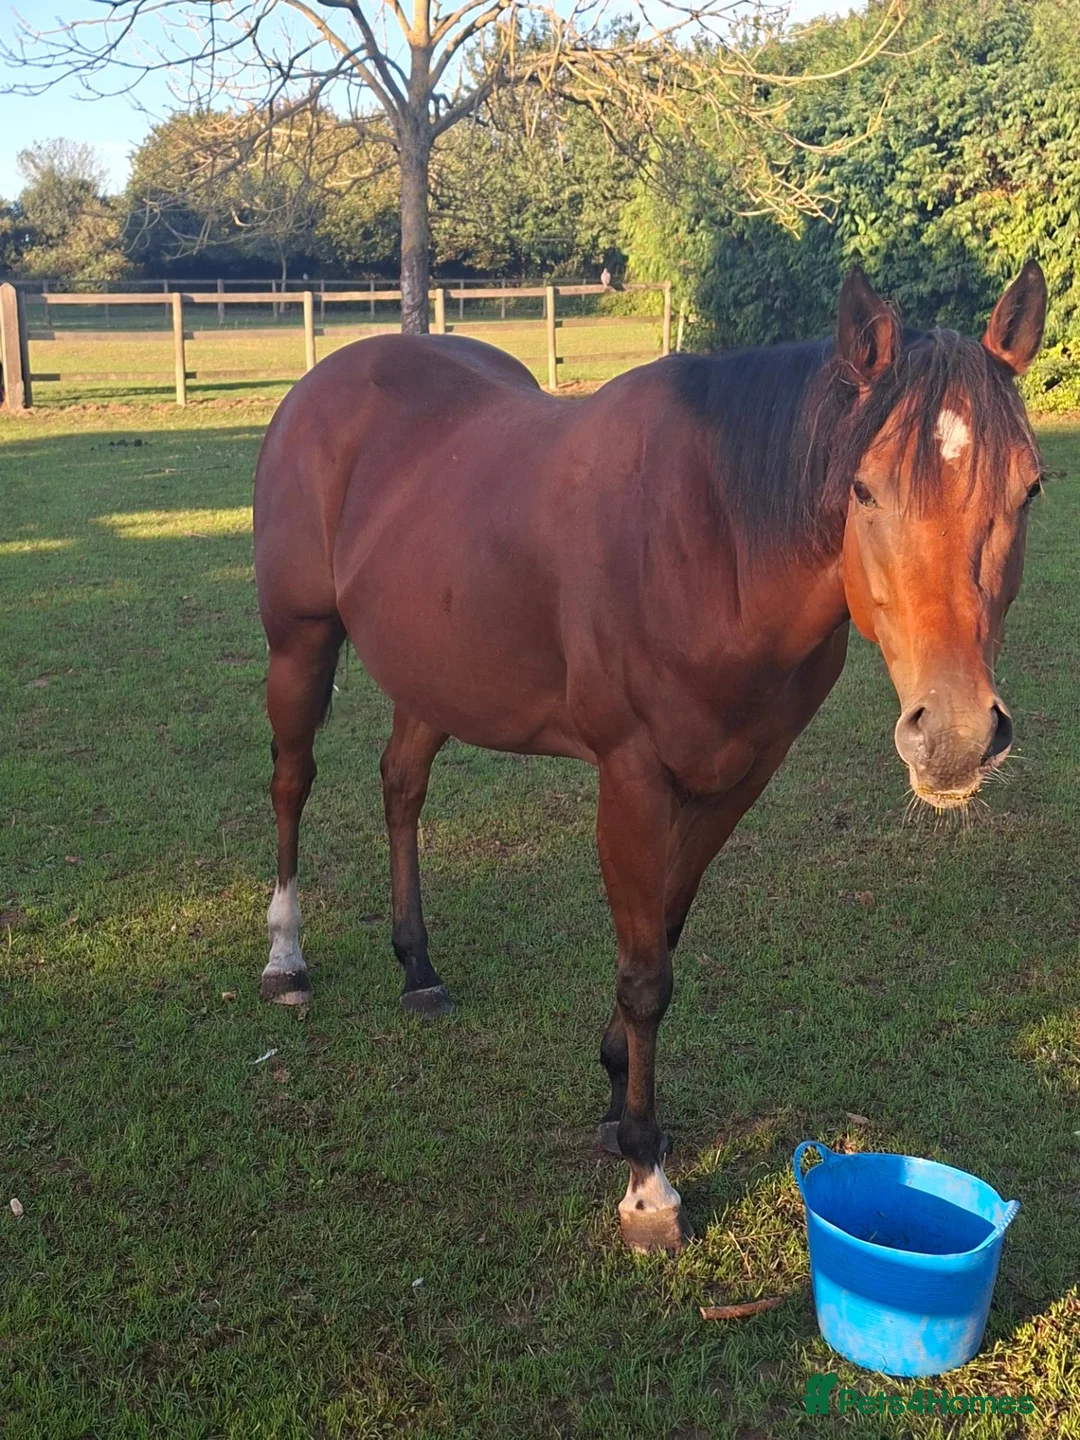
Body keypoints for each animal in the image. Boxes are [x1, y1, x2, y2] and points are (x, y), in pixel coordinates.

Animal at [253, 263, 1046, 1252]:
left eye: (1031, 490)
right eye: (863, 490)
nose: (955, 736)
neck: (713, 539)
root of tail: (325, 383)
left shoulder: (735, 778)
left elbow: (660, 934)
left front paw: (615, 1094)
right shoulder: (631, 777)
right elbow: (645, 976)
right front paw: (646, 1180)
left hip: (434, 671)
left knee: (401, 787)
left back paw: (418, 968)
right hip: (299, 644)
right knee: (292, 783)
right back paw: (286, 959)